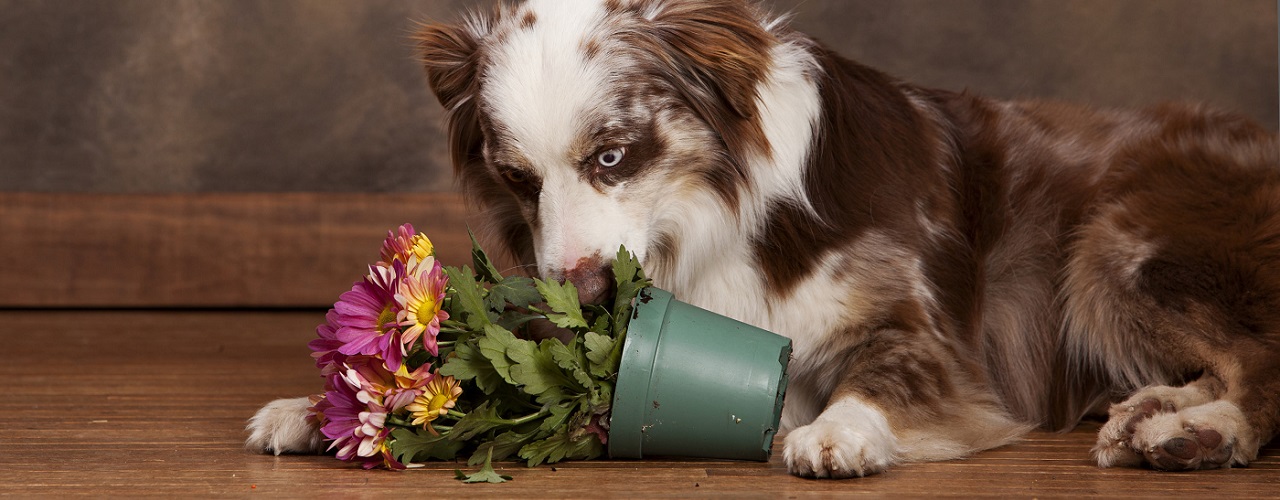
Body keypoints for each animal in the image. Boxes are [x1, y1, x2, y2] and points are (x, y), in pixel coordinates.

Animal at [249, 0, 1280, 478]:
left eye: (613, 156)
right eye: (517, 179)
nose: (589, 298)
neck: (702, 230)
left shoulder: (928, 336)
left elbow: (884, 376)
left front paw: (840, 431)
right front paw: (322, 408)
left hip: (1117, 245)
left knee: (1261, 365)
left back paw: (1203, 432)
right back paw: (1155, 414)